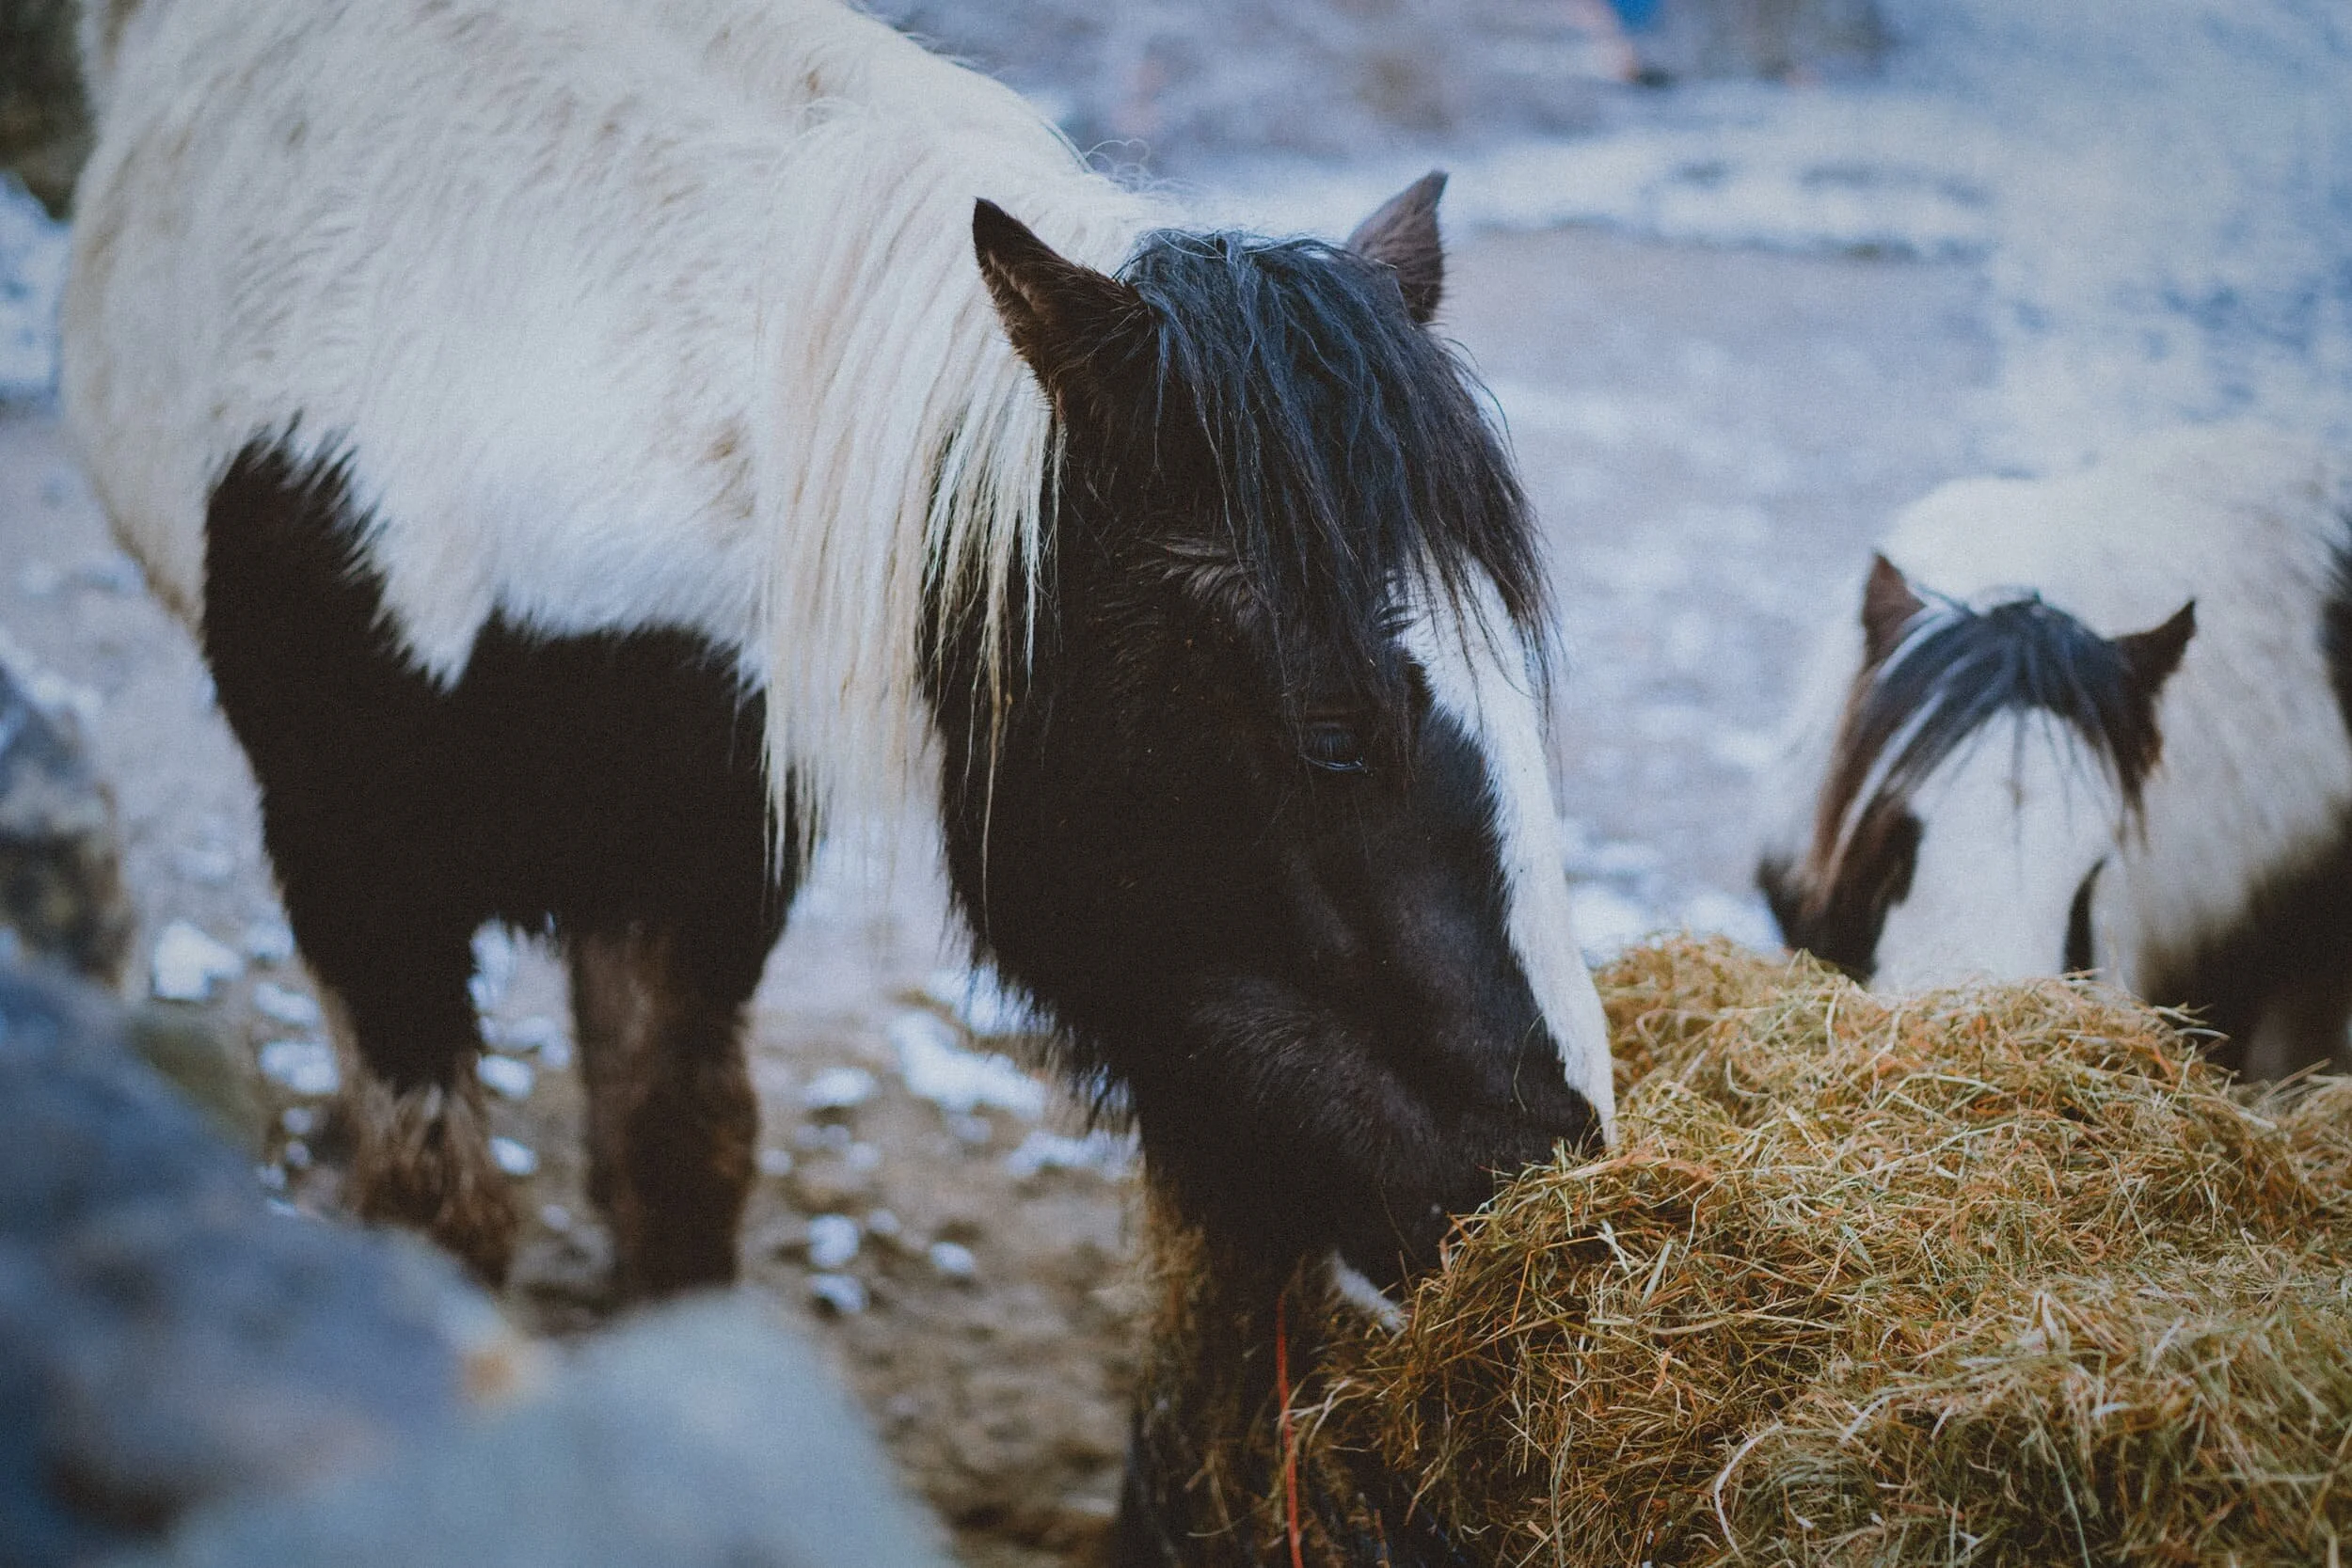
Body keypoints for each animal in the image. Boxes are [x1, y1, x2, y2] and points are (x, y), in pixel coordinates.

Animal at [61, 0, 1614, 1307]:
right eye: (1331, 735)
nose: (1546, 1168)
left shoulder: (701, 852)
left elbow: (673, 1162)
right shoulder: (354, 875)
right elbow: (444, 1217)